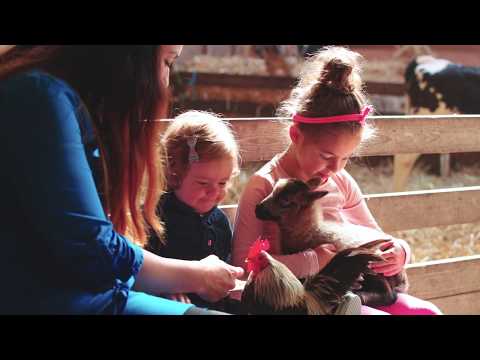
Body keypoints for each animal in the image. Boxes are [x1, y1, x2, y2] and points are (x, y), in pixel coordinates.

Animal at [255, 177, 408, 306]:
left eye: (286, 200)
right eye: (272, 190)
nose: (257, 209)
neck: (309, 231)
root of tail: (403, 278)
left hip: (374, 267)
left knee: (389, 295)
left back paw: (360, 294)